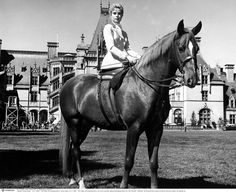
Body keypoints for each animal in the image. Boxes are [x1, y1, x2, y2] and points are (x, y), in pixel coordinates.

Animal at [60, 20, 202, 188]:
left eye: (197, 48)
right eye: (180, 47)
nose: (192, 79)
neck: (146, 84)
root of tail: (69, 83)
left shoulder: (156, 129)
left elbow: (153, 162)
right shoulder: (133, 128)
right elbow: (128, 160)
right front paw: (123, 185)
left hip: (85, 124)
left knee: (73, 148)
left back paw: (72, 178)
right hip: (74, 122)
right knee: (76, 150)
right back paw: (81, 182)